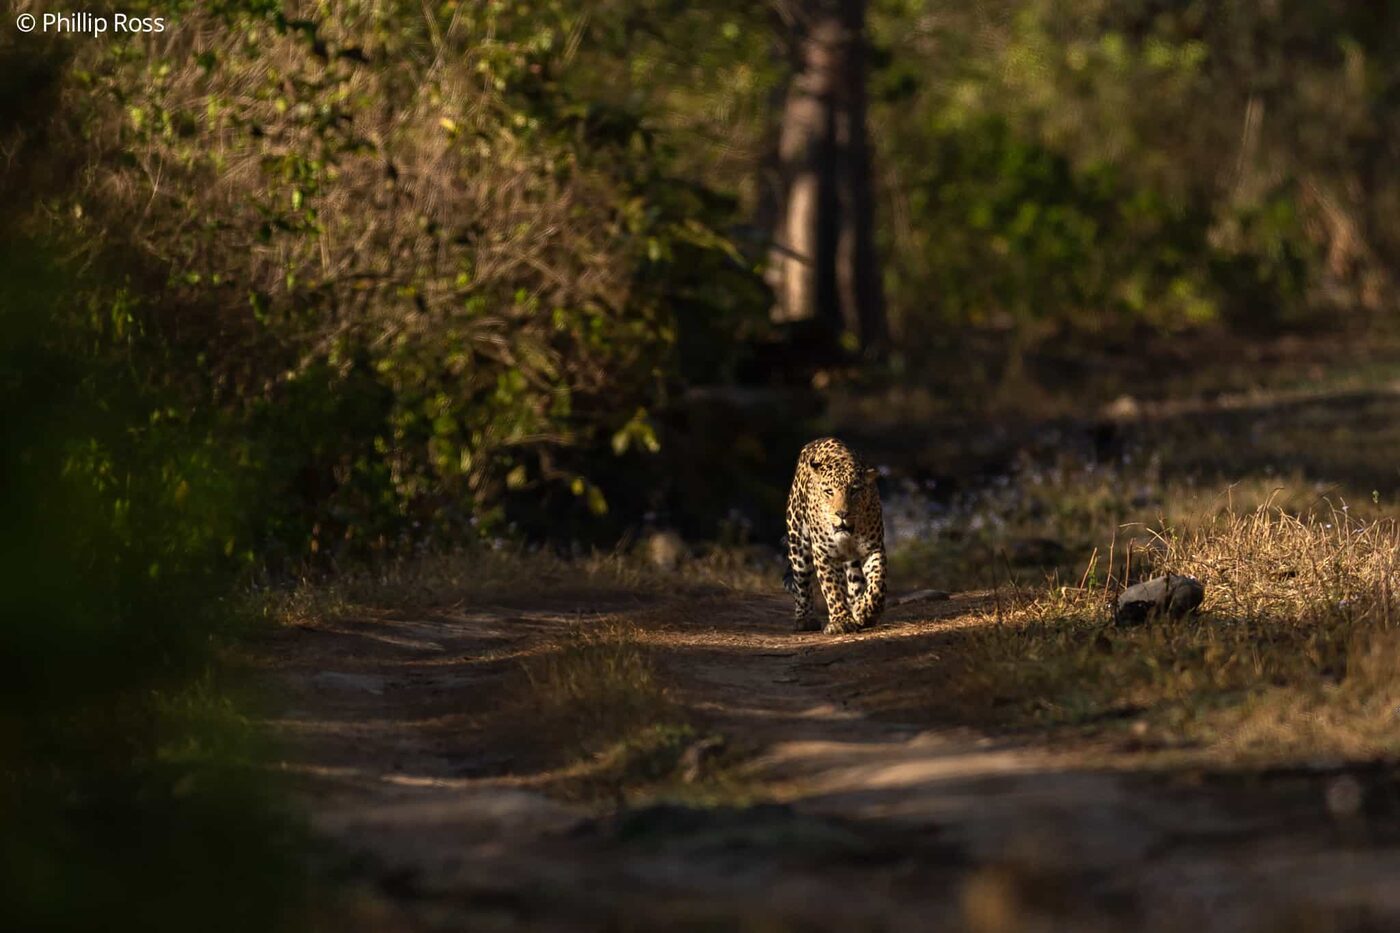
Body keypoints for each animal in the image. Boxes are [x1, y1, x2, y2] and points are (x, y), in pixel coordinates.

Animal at [782, 437, 886, 635]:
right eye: (829, 491)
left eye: (854, 490)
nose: (842, 513)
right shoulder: (824, 554)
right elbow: (832, 589)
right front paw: (841, 621)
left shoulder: (873, 548)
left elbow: (878, 582)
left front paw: (864, 611)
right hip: (798, 543)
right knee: (802, 583)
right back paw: (804, 619)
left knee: (855, 581)